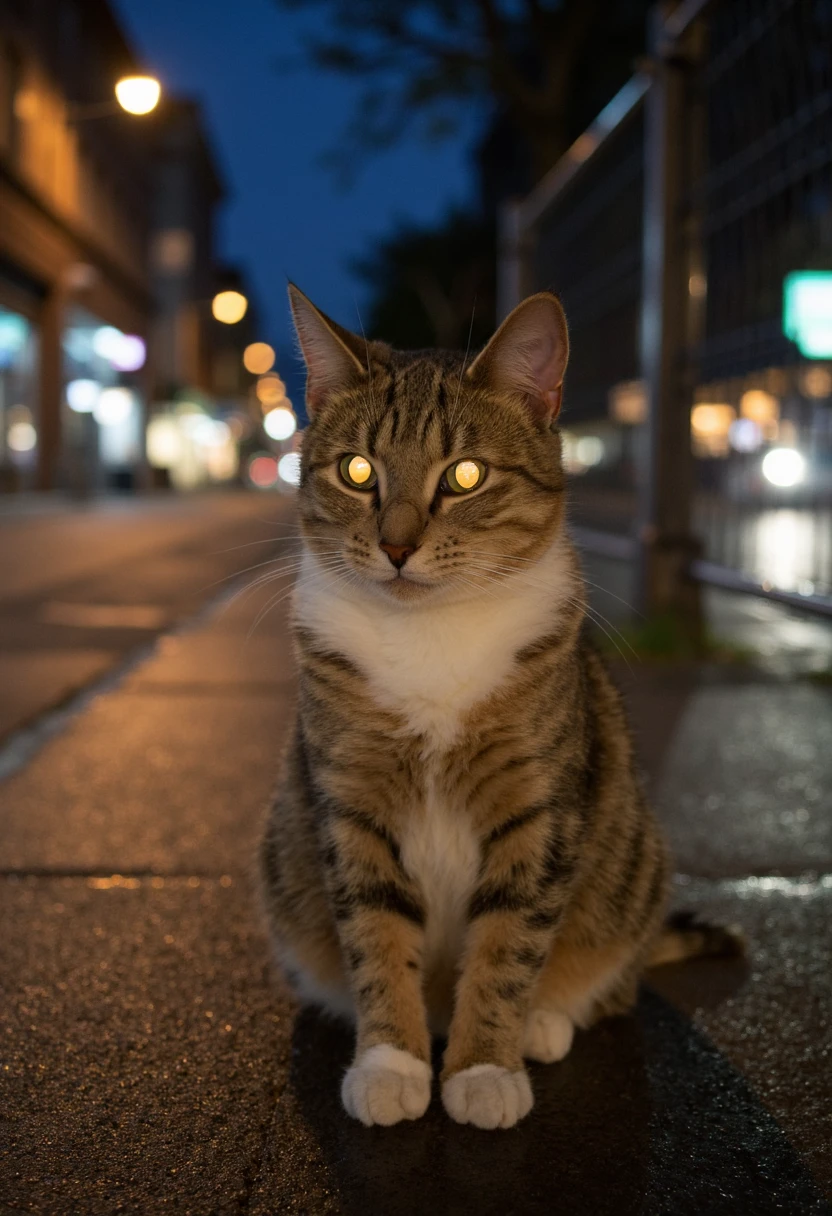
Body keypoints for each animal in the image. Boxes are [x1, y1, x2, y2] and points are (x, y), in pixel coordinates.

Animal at [260, 284, 739, 1128]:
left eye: (465, 476)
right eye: (357, 470)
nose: (396, 547)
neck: (428, 635)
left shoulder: (538, 811)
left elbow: (508, 945)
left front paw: (485, 1065)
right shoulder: (351, 805)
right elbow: (376, 936)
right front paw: (391, 1061)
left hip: (633, 868)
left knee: (609, 979)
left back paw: (543, 1021)